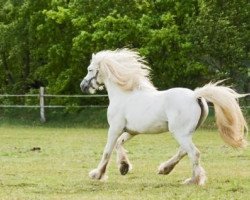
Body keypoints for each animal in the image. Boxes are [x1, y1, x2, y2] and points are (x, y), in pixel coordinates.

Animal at [80, 48, 248, 186]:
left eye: (90, 69)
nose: (83, 86)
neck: (124, 94)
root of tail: (195, 95)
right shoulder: (131, 131)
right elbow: (119, 144)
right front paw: (124, 167)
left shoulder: (114, 128)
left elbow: (107, 150)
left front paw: (97, 174)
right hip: (186, 133)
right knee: (184, 151)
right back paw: (165, 169)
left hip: (179, 133)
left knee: (193, 153)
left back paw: (192, 180)